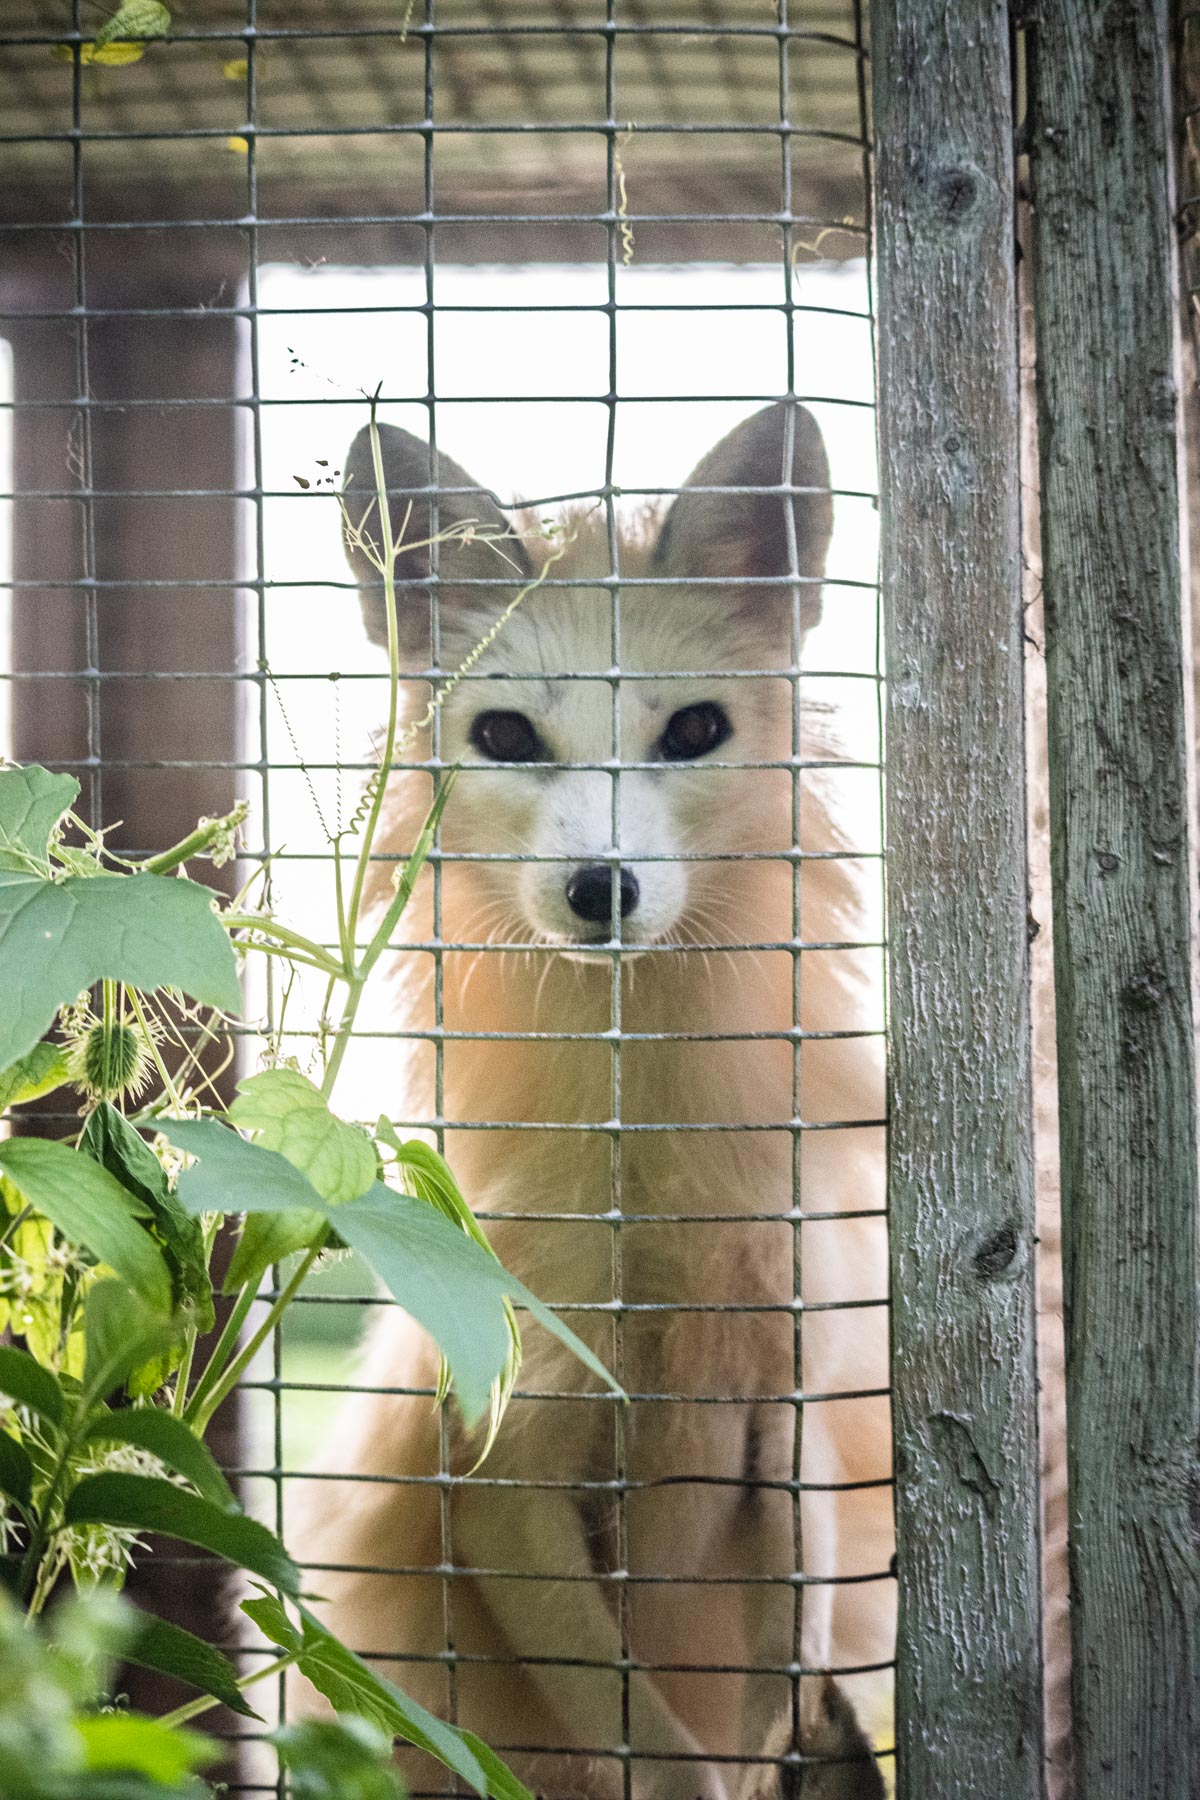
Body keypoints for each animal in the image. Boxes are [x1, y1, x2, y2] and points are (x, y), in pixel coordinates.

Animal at [287, 405, 892, 1800]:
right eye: (508, 738)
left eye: (694, 732)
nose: (599, 887)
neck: (642, 1187)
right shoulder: (499, 1466)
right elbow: (655, 1753)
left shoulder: (783, 1422)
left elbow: (784, 1673)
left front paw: (791, 1752)